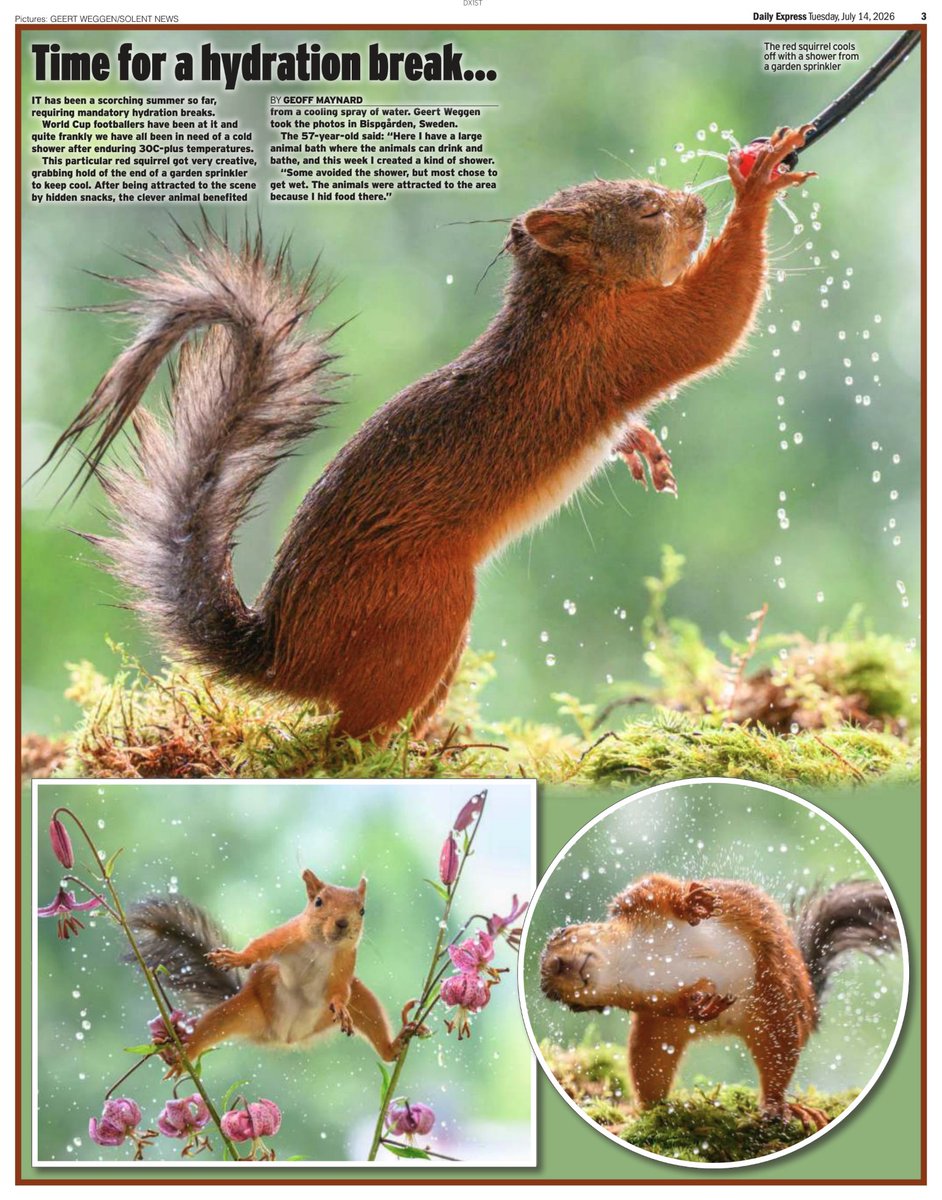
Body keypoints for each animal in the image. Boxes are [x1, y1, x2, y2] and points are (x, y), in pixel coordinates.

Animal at [49, 125, 815, 741]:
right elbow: (713, 320)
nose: (700, 207)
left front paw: (640, 446)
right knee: (346, 733)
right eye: (646, 209)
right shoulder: (624, 340)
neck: (569, 300)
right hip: (424, 611)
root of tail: (286, 656)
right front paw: (758, 184)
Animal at [128, 868, 426, 1069]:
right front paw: (236, 957)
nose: (342, 923)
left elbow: (341, 990)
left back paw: (394, 1046)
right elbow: (261, 947)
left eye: (362, 910)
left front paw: (341, 1006)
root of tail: (283, 1036)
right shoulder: (287, 936)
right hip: (244, 1009)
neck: (322, 946)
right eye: (318, 901)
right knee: (212, 1025)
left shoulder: (345, 964)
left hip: (351, 1005)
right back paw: (184, 1056)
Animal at [539, 872, 900, 1131]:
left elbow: (660, 887)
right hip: (656, 1039)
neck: (631, 963)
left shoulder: (638, 902)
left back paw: (782, 1107)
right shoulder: (650, 1002)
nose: (560, 970)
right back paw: (647, 1114)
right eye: (563, 1001)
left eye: (562, 936)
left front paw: (692, 902)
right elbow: (675, 1004)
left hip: (777, 1013)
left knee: (777, 1066)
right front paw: (698, 1004)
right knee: (651, 1079)